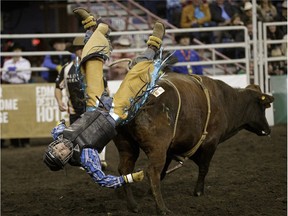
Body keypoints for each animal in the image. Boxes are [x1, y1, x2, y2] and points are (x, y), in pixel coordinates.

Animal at [113, 72, 274, 214]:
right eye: (263, 107)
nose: (267, 129)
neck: (226, 101)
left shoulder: (171, 149)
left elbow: (165, 172)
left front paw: (148, 192)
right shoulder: (210, 142)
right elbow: (204, 167)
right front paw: (198, 191)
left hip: (127, 145)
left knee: (125, 169)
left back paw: (133, 205)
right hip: (157, 148)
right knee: (152, 171)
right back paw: (162, 209)